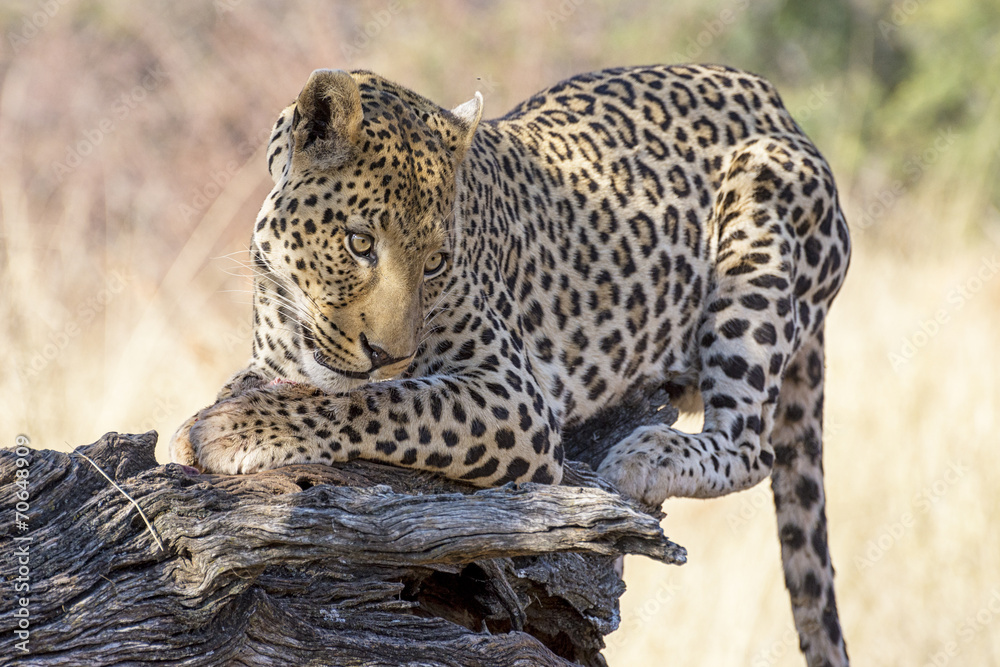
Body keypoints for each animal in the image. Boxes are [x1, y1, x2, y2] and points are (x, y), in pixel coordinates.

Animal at [171, 64, 851, 666]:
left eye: (437, 261)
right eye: (359, 243)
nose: (389, 353)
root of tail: (778, 106)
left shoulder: (513, 395)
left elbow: (379, 400)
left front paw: (231, 430)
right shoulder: (274, 359)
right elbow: (274, 385)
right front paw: (202, 421)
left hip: (760, 207)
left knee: (752, 444)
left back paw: (644, 459)